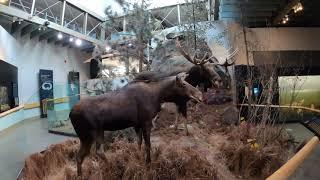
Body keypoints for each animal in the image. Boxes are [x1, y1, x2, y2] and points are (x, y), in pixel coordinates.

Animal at [69, 74, 202, 176]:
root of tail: (70, 114)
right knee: (98, 151)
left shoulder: (137, 124)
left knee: (80, 156)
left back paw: (80, 175)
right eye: (184, 84)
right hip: (94, 132)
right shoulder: (146, 122)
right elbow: (148, 145)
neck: (159, 96)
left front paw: (138, 159)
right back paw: (113, 168)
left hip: (87, 136)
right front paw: (148, 163)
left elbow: (139, 143)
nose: (200, 95)